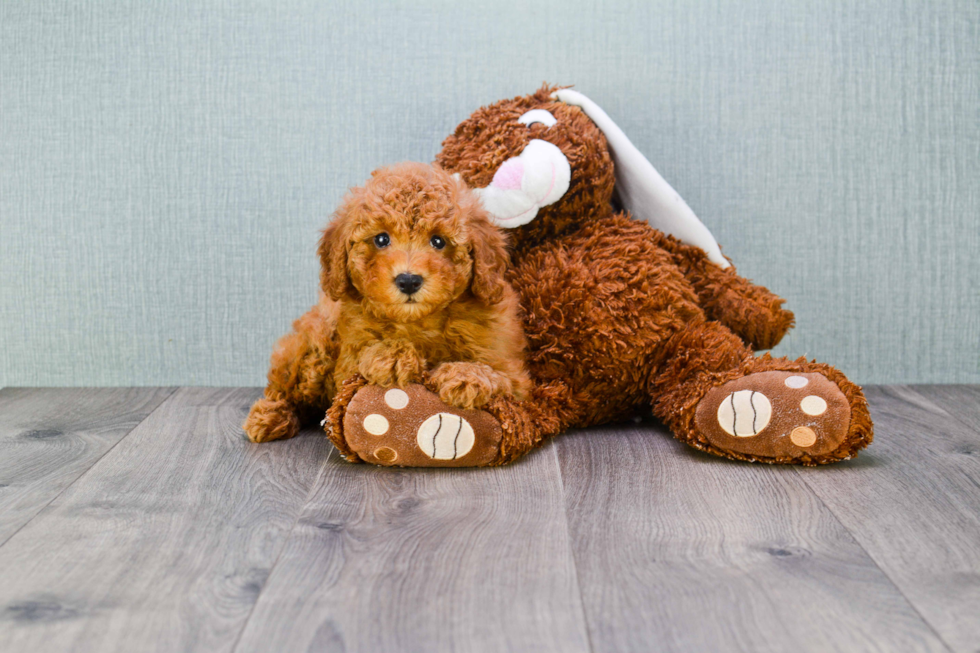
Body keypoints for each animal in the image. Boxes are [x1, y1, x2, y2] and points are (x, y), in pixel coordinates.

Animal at [244, 162, 528, 444]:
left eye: (438, 241)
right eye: (381, 239)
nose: (409, 280)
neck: (419, 321)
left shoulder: (515, 375)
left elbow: (498, 375)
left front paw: (466, 376)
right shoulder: (346, 366)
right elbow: (363, 357)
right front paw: (392, 355)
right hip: (314, 347)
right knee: (286, 386)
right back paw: (270, 416)